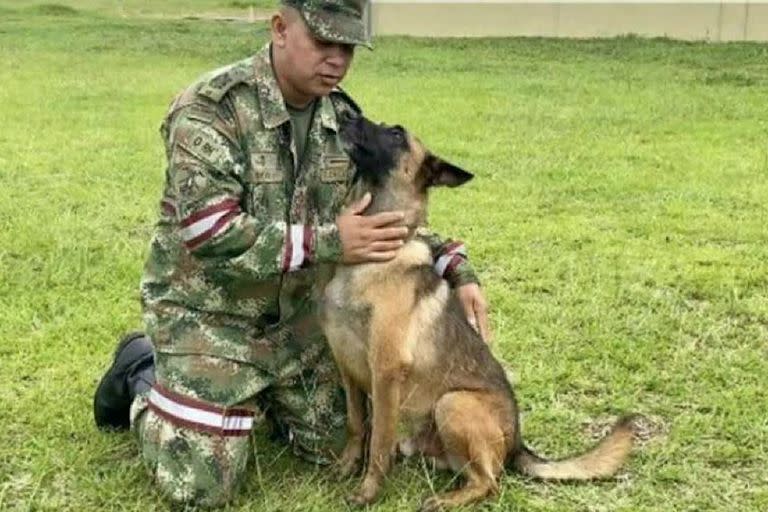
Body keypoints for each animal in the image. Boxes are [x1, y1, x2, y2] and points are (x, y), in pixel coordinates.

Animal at [320, 116, 636, 512]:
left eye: (395, 133)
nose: (345, 116)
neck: (370, 260)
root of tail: (517, 442)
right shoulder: (347, 368)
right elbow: (356, 425)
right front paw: (346, 467)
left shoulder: (385, 371)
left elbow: (378, 440)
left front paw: (368, 492)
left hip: (453, 403)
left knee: (489, 482)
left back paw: (444, 500)